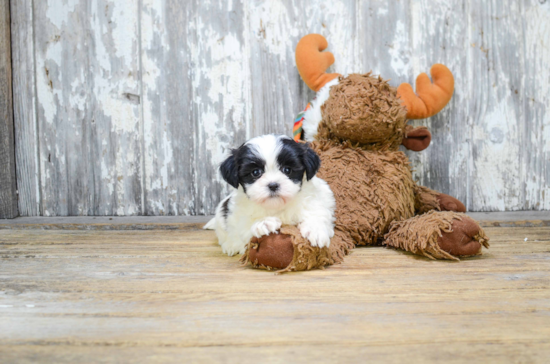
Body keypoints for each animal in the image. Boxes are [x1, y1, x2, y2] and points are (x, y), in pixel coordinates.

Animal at [204, 134, 336, 256]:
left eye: (287, 170)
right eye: (255, 172)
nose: (273, 185)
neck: (277, 206)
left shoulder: (319, 199)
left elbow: (317, 213)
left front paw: (316, 230)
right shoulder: (239, 216)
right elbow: (246, 226)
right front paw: (263, 222)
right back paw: (230, 246)